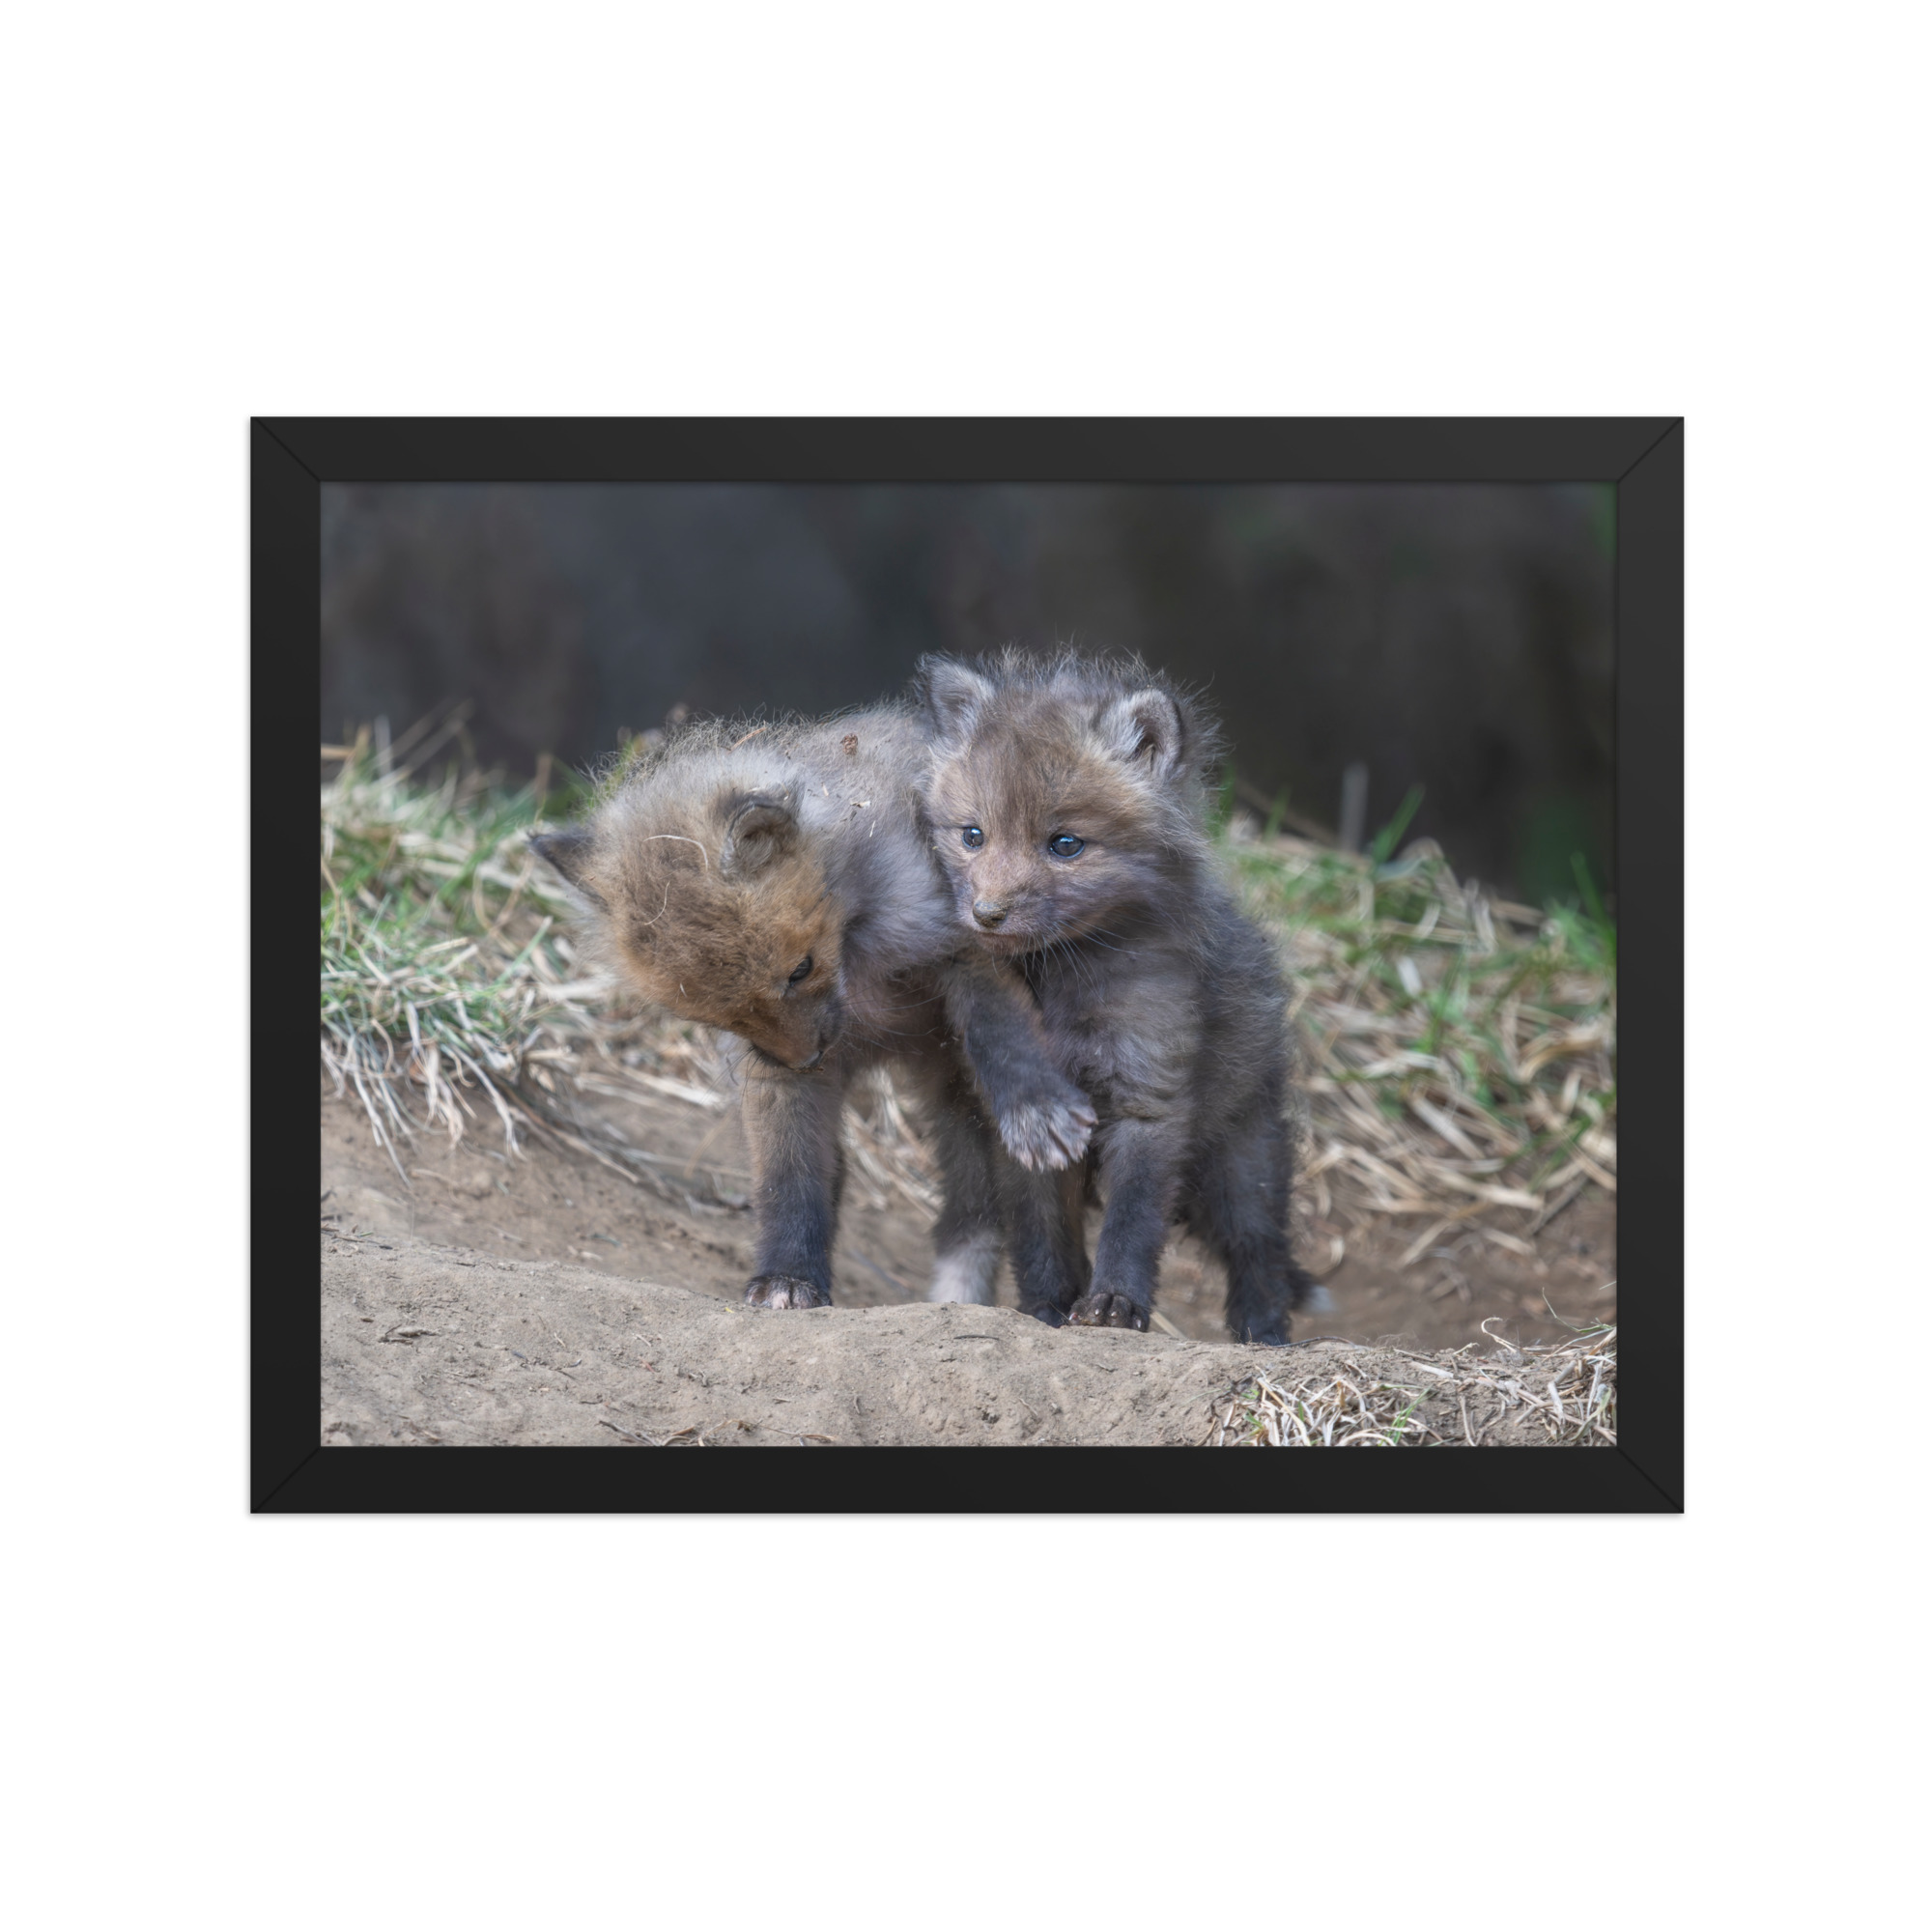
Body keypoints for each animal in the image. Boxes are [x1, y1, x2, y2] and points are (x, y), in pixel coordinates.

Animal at [530, 706, 1096, 1320]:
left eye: (800, 970)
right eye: (718, 1016)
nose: (807, 1058)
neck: (860, 959)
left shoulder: (966, 943)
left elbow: (1001, 1033)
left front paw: (1034, 1106)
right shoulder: (769, 1070)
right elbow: (789, 1177)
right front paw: (788, 1277)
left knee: (1029, 1214)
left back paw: (1052, 1306)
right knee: (966, 1213)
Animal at [914, 649, 1320, 1345]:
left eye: (1065, 844)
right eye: (972, 836)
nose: (986, 914)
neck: (1062, 985)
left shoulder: (1148, 1097)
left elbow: (1132, 1223)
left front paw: (1114, 1306)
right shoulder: (1025, 1126)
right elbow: (1041, 1235)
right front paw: (1046, 1309)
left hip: (1241, 1159)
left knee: (1259, 1250)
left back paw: (1263, 1335)